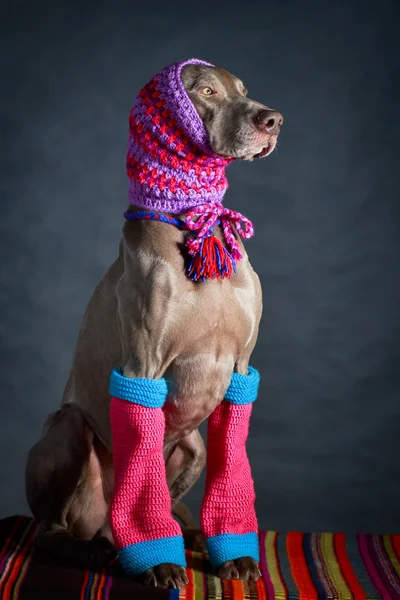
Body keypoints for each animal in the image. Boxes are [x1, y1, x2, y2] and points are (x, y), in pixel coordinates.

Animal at [25, 58, 282, 588]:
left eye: (243, 89)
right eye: (206, 91)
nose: (273, 120)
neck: (192, 219)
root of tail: (103, 523)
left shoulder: (241, 368)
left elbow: (231, 466)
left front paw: (233, 551)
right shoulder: (142, 366)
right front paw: (159, 561)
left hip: (193, 447)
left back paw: (189, 533)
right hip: (68, 428)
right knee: (48, 528)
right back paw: (96, 550)